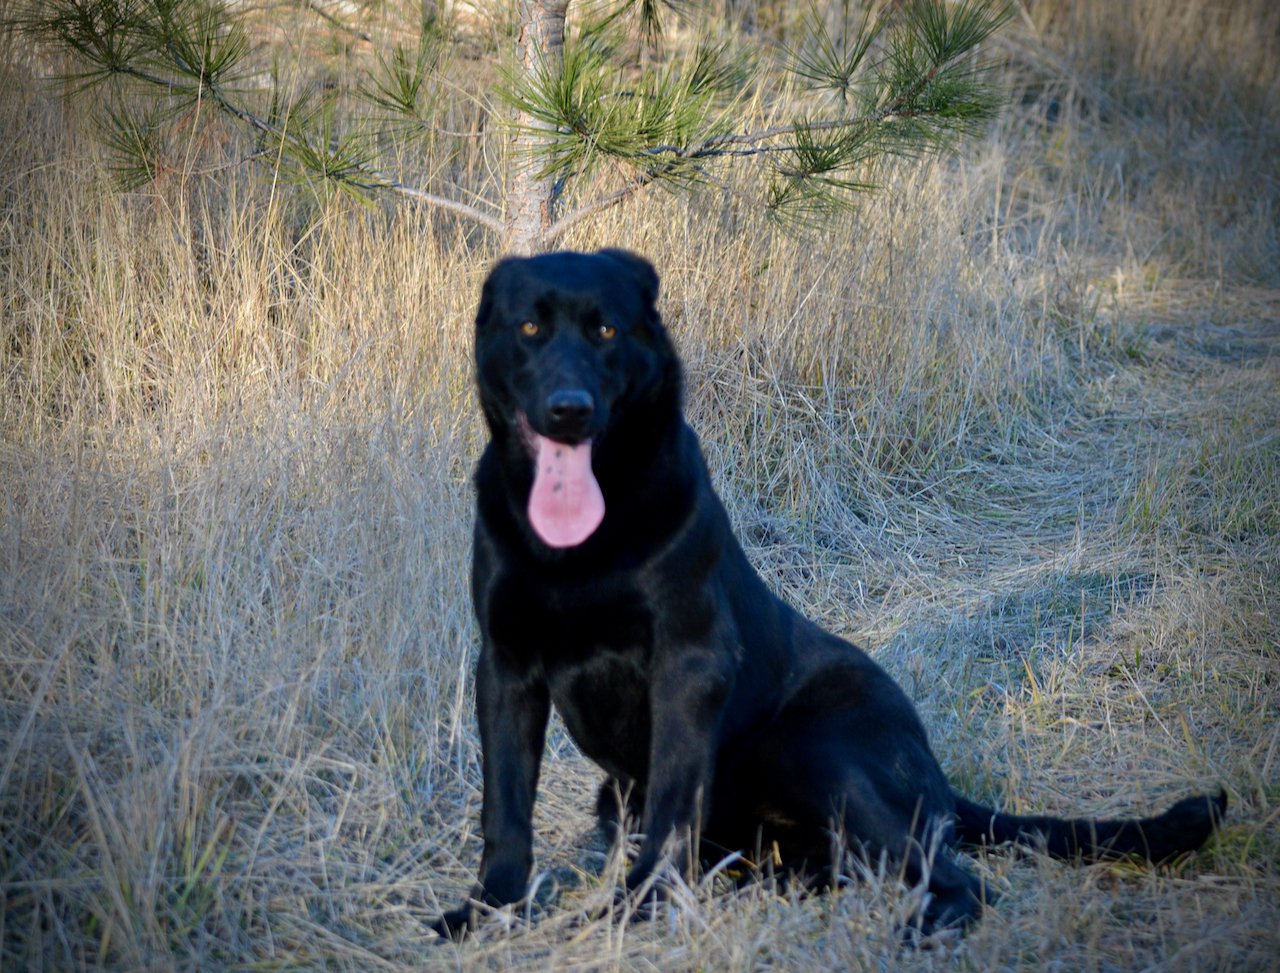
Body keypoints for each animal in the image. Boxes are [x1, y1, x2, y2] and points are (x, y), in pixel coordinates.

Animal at [435, 252, 1223, 942]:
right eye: (529, 328)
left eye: (605, 330)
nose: (569, 410)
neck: (580, 543)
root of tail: (939, 778)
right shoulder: (505, 666)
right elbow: (505, 807)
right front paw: (485, 913)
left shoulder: (687, 663)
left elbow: (671, 808)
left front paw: (634, 914)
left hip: (815, 751)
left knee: (957, 879)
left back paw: (914, 931)